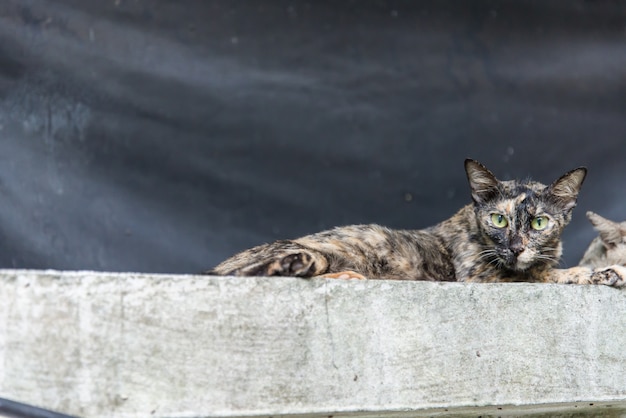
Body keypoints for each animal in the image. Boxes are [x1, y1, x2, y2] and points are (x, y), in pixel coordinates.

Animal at [207, 158, 624, 286]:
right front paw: (598, 273)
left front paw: (606, 272)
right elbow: (542, 276)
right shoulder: (481, 277)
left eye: (539, 223)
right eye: (498, 219)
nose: (516, 247)